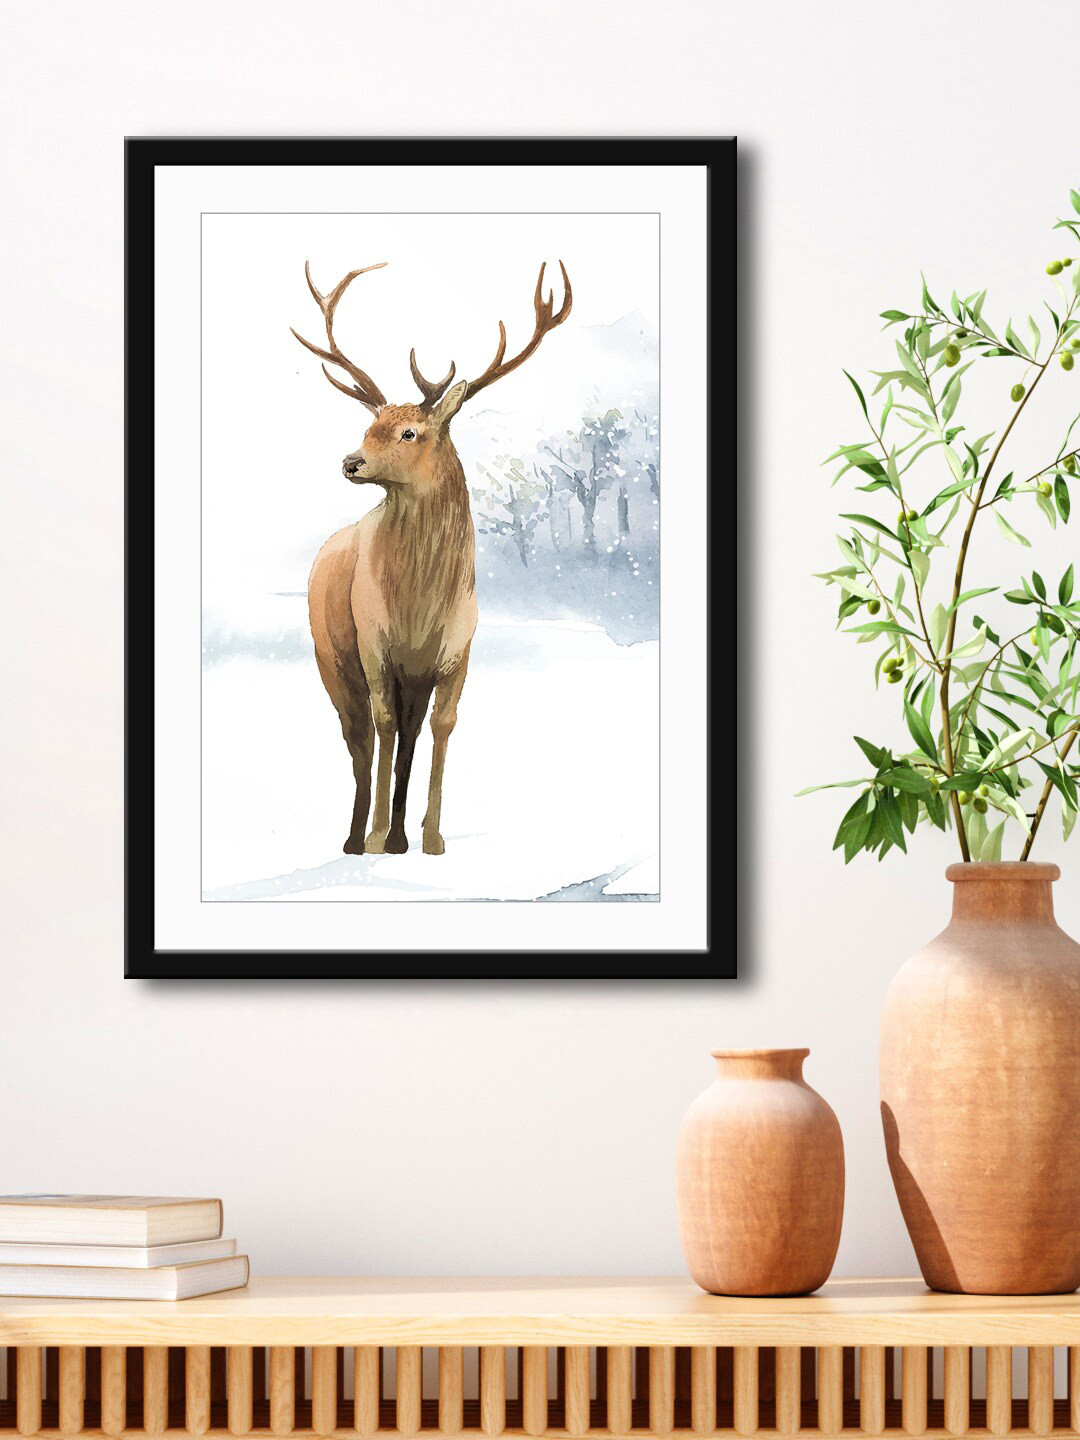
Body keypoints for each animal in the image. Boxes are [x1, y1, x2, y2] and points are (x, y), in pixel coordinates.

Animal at [291, 258, 572, 857]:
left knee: (405, 737)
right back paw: (355, 839)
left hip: (408, 677)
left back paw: (397, 835)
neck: (419, 606)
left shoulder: (455, 652)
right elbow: (381, 726)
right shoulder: (375, 644)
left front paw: (431, 837)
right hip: (331, 657)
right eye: (368, 426)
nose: (350, 462)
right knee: (358, 737)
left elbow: (441, 726)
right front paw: (377, 835)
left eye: (408, 431)